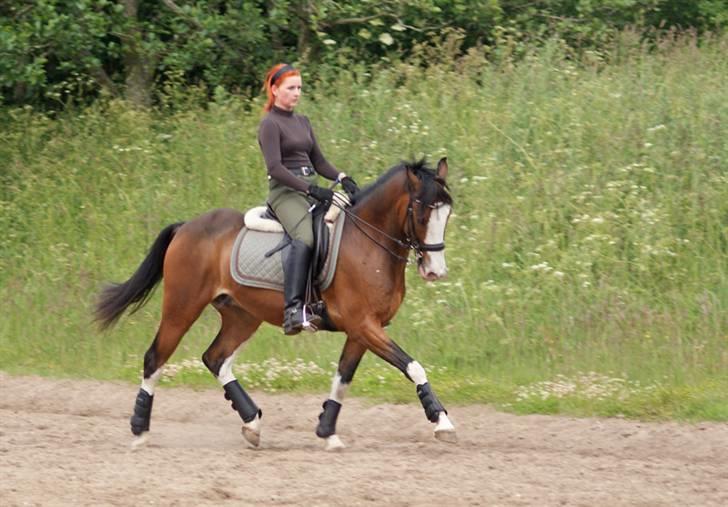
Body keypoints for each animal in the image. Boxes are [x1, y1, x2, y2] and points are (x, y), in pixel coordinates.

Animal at [95, 158, 456, 448]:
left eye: (447, 212)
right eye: (422, 210)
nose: (435, 271)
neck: (368, 242)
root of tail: (186, 227)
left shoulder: (363, 330)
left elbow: (343, 379)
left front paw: (327, 432)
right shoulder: (363, 324)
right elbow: (413, 365)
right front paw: (442, 422)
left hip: (242, 316)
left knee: (215, 358)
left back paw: (252, 424)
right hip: (181, 308)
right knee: (155, 358)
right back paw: (139, 431)